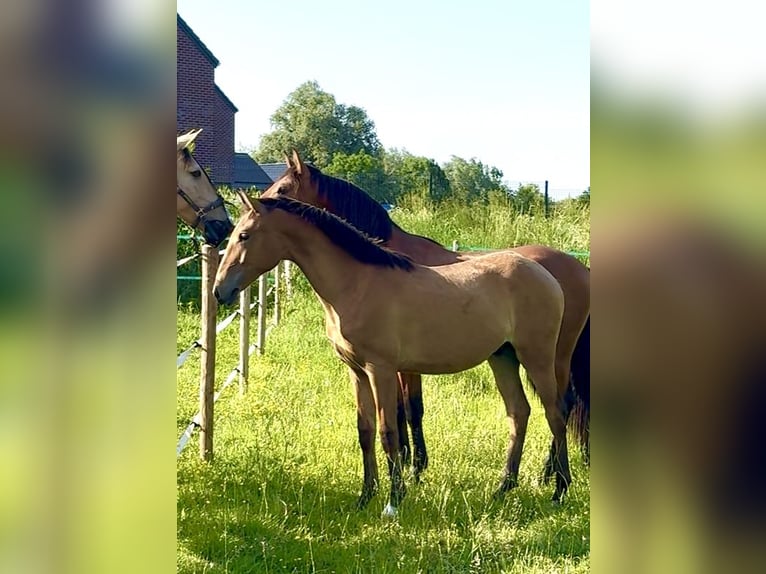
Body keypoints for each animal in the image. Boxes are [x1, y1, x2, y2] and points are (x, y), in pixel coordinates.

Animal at [214, 194, 572, 516]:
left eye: (244, 235)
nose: (220, 291)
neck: (358, 284)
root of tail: (547, 275)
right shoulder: (356, 371)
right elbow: (365, 430)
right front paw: (365, 496)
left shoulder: (380, 370)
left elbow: (389, 431)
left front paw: (393, 501)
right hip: (503, 358)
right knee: (519, 412)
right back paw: (503, 487)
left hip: (537, 357)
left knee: (556, 414)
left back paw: (560, 490)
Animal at [260, 151, 590, 479]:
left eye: (282, 189)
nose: (255, 208)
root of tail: (577, 268)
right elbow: (399, 410)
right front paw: (407, 461)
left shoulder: (400, 364)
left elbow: (409, 408)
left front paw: (414, 466)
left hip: (555, 355)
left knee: (561, 405)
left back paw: (550, 472)